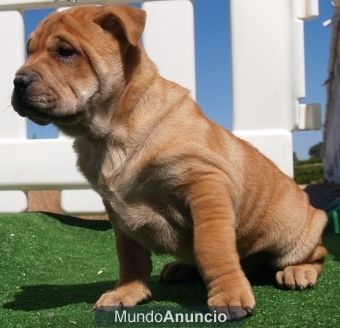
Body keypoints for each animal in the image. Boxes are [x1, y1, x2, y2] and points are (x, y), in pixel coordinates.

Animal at [11, 4, 328, 318]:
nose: (17, 81)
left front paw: (229, 294)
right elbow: (130, 256)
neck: (107, 135)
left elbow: (212, 247)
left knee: (317, 254)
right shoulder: (118, 213)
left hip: (293, 233)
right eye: (29, 51)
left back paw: (298, 272)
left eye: (65, 52)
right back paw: (181, 268)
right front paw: (128, 292)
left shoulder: (205, 186)